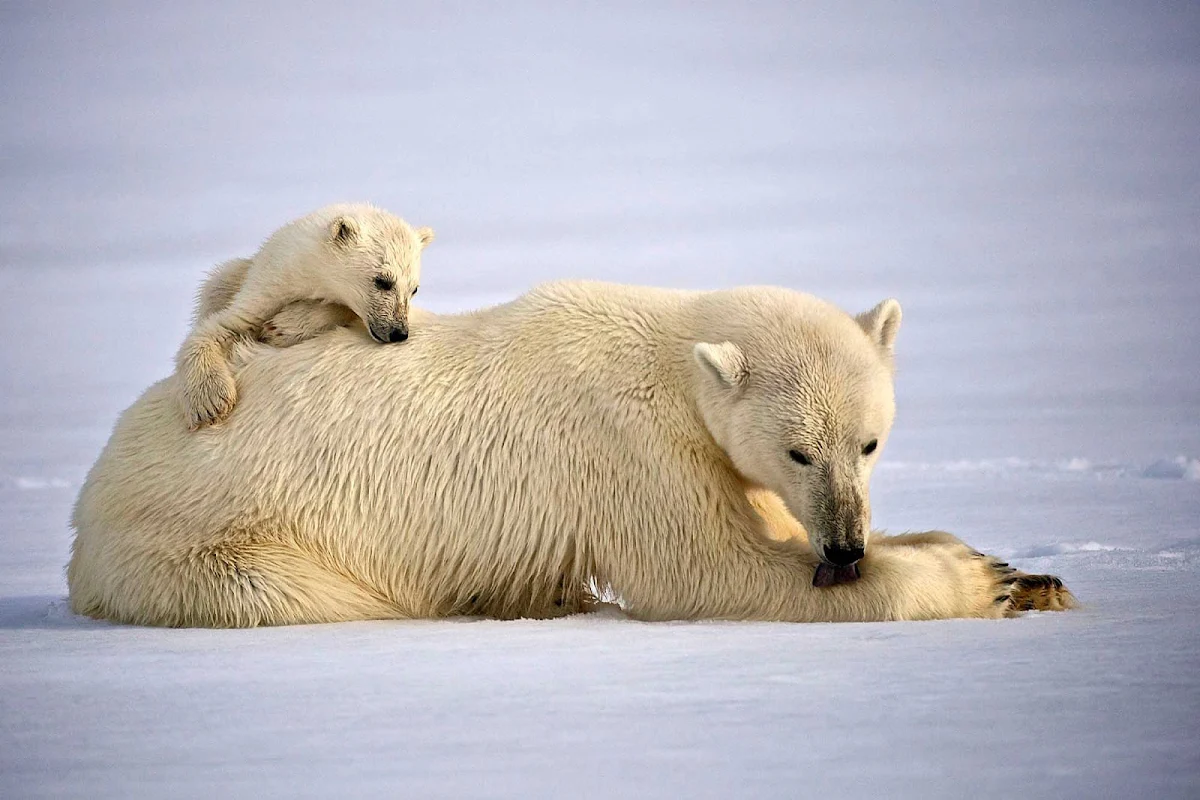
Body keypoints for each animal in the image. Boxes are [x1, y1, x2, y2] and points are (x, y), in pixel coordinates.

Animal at [67, 280, 1074, 627]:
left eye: (868, 442)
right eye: (797, 451)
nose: (846, 548)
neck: (667, 353)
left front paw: (1023, 571)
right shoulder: (631, 450)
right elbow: (716, 572)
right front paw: (973, 584)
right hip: (206, 542)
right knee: (310, 594)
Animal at [177, 203, 435, 429]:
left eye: (414, 289)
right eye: (382, 281)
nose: (399, 332)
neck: (308, 274)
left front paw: (281, 327)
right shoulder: (266, 289)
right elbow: (220, 327)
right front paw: (210, 403)